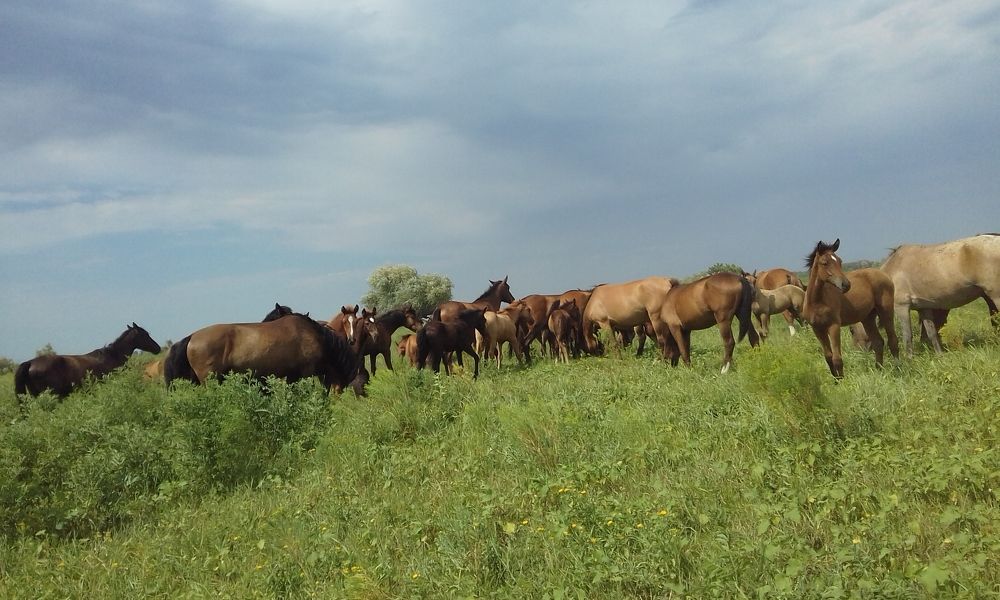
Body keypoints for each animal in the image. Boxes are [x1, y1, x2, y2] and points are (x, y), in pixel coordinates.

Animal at [802, 239, 899, 378]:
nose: (846, 285)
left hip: (886, 311)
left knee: (893, 341)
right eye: (824, 263)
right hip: (868, 318)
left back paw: (898, 368)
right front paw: (836, 381)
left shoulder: (834, 326)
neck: (817, 302)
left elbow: (837, 358)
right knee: (878, 343)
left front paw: (842, 381)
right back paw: (879, 371)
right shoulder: (818, 329)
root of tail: (884, 274)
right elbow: (828, 357)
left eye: (840, 261)